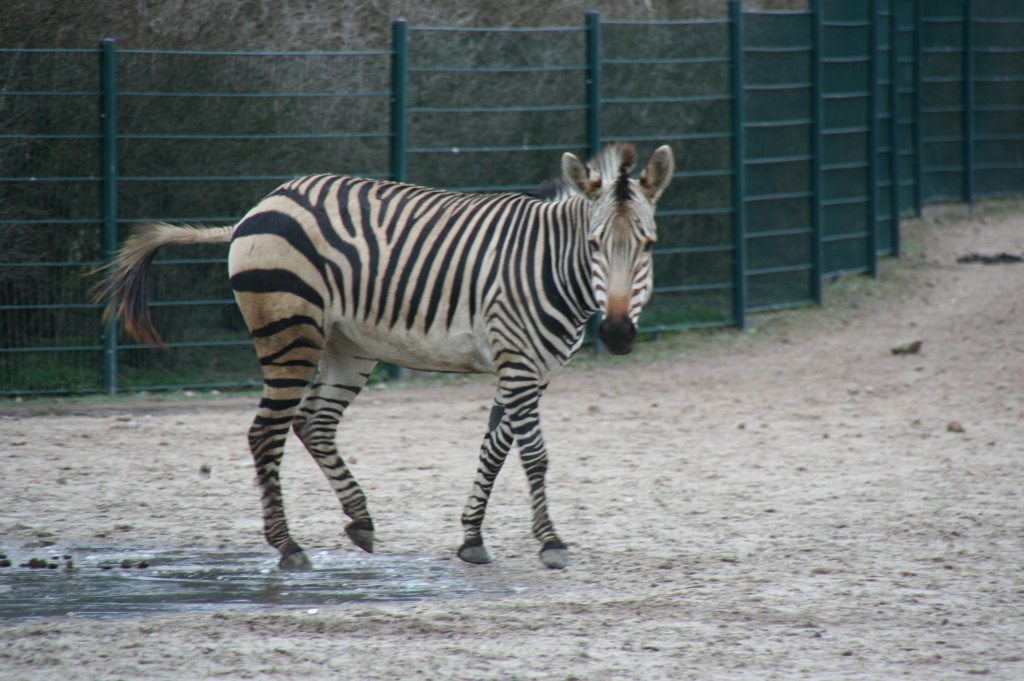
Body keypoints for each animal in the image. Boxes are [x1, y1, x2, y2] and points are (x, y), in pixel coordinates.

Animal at [94, 142, 671, 569]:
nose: (617, 334)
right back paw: (288, 546)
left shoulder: (533, 369)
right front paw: (550, 542)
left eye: (648, 244)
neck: (553, 263)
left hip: (347, 345)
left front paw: (471, 538)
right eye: (595, 244)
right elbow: (533, 453)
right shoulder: (518, 362)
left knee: (313, 422)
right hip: (291, 333)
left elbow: (495, 447)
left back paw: (360, 520)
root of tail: (260, 206)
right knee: (266, 432)